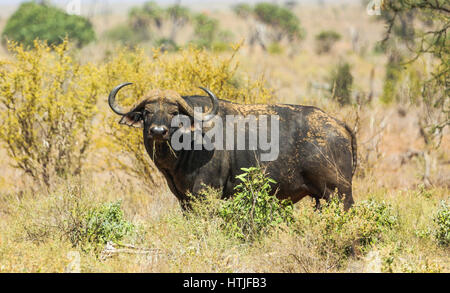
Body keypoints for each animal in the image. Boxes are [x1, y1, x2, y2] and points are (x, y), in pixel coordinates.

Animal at [107, 83, 356, 209]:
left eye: (173, 112)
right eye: (147, 112)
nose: (158, 131)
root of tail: (339, 124)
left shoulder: (206, 192)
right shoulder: (183, 198)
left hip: (339, 193)